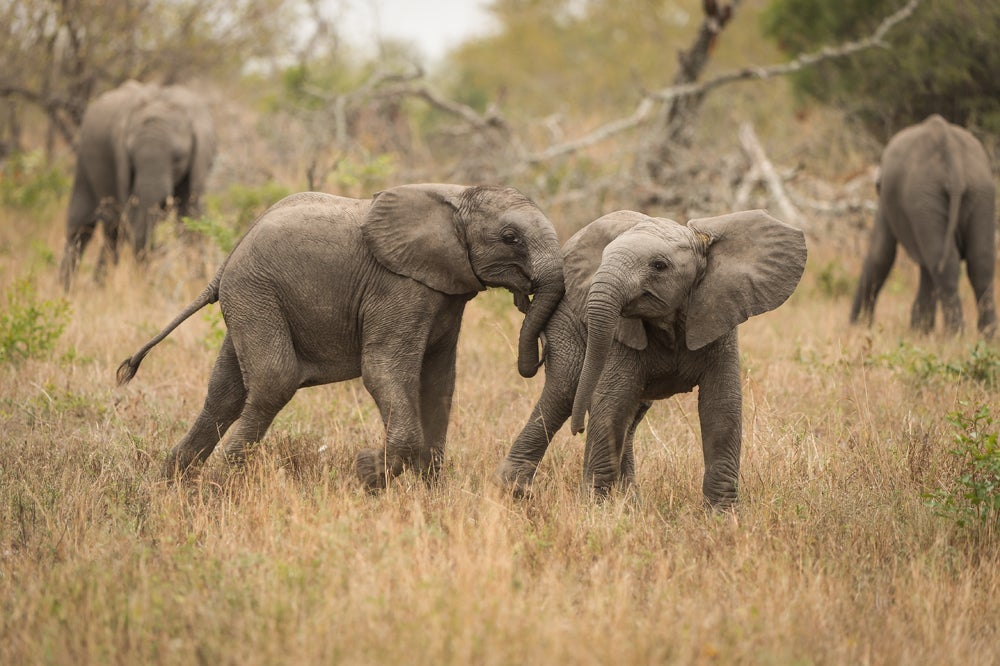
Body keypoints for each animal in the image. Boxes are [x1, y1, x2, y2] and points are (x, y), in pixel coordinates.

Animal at [59, 80, 217, 289]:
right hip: (83, 162)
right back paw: (64, 290)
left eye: (178, 157)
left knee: (111, 233)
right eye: (131, 156)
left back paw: (97, 286)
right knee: (82, 226)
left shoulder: (197, 165)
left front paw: (197, 281)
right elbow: (129, 218)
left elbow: (190, 215)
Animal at [116, 184, 564, 488]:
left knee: (225, 393)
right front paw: (368, 473)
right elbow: (383, 371)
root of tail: (229, 257)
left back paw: (172, 486)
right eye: (510, 238)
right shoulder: (398, 289)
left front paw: (429, 493)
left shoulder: (446, 297)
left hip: (249, 299)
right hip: (256, 292)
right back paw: (221, 483)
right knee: (274, 381)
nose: (536, 358)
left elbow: (439, 384)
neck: (456, 197)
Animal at [496, 209, 807, 509]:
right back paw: (515, 492)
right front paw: (595, 511)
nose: (579, 430)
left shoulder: (718, 315)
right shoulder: (622, 334)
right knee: (564, 393)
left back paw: (631, 503)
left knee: (629, 416)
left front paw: (723, 516)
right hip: (564, 325)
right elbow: (610, 404)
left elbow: (721, 408)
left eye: (659, 266)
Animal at [850, 114, 996, 337]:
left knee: (945, 265)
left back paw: (954, 335)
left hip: (925, 196)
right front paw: (920, 331)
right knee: (980, 263)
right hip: (978, 192)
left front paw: (855, 327)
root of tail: (950, 150)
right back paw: (987, 335)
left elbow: (880, 254)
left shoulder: (886, 202)